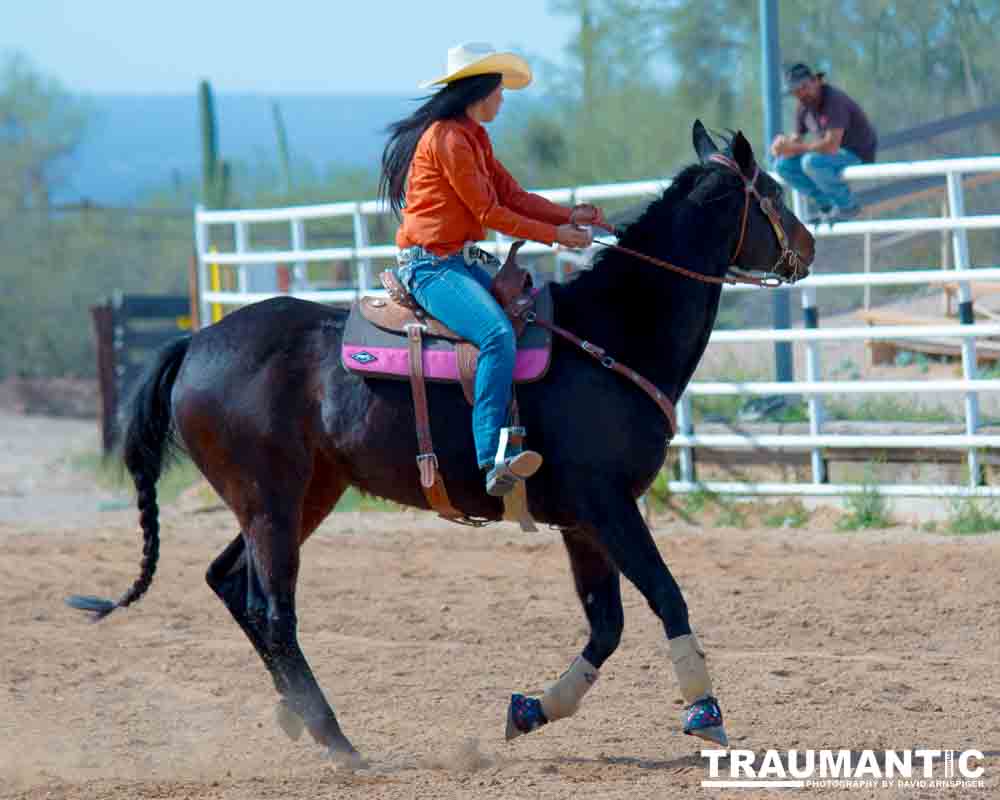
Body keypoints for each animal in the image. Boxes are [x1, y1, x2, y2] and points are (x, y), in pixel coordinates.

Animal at [70, 119, 812, 764]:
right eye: (774, 193)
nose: (806, 246)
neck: (610, 334)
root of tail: (196, 342)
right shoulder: (608, 505)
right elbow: (665, 595)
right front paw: (706, 714)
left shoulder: (582, 520)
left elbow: (607, 624)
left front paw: (530, 710)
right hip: (270, 500)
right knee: (272, 611)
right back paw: (339, 743)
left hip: (302, 495)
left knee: (228, 583)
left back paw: (300, 715)